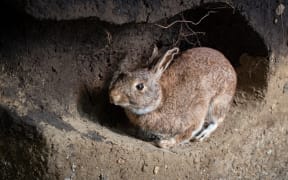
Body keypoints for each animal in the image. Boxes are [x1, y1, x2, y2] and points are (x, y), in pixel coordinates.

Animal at [108, 45, 236, 148]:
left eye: (140, 86)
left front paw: (165, 143)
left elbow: (187, 133)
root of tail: (229, 65)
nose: (112, 96)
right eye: (122, 75)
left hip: (218, 102)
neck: (160, 100)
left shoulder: (194, 116)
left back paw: (203, 135)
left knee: (217, 120)